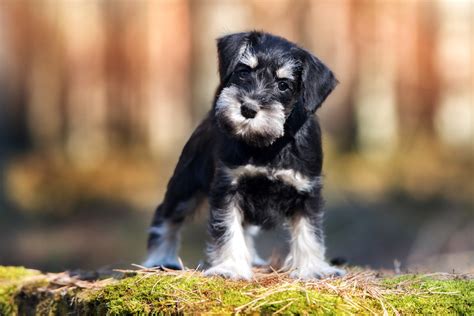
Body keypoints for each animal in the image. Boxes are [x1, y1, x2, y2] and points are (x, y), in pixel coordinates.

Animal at [143, 31, 344, 278]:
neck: (268, 145)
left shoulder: (307, 191)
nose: (248, 108)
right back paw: (159, 258)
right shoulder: (228, 188)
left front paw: (313, 268)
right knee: (166, 216)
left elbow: (310, 233)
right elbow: (229, 229)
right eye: (243, 71)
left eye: (283, 85)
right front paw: (229, 267)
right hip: (185, 185)